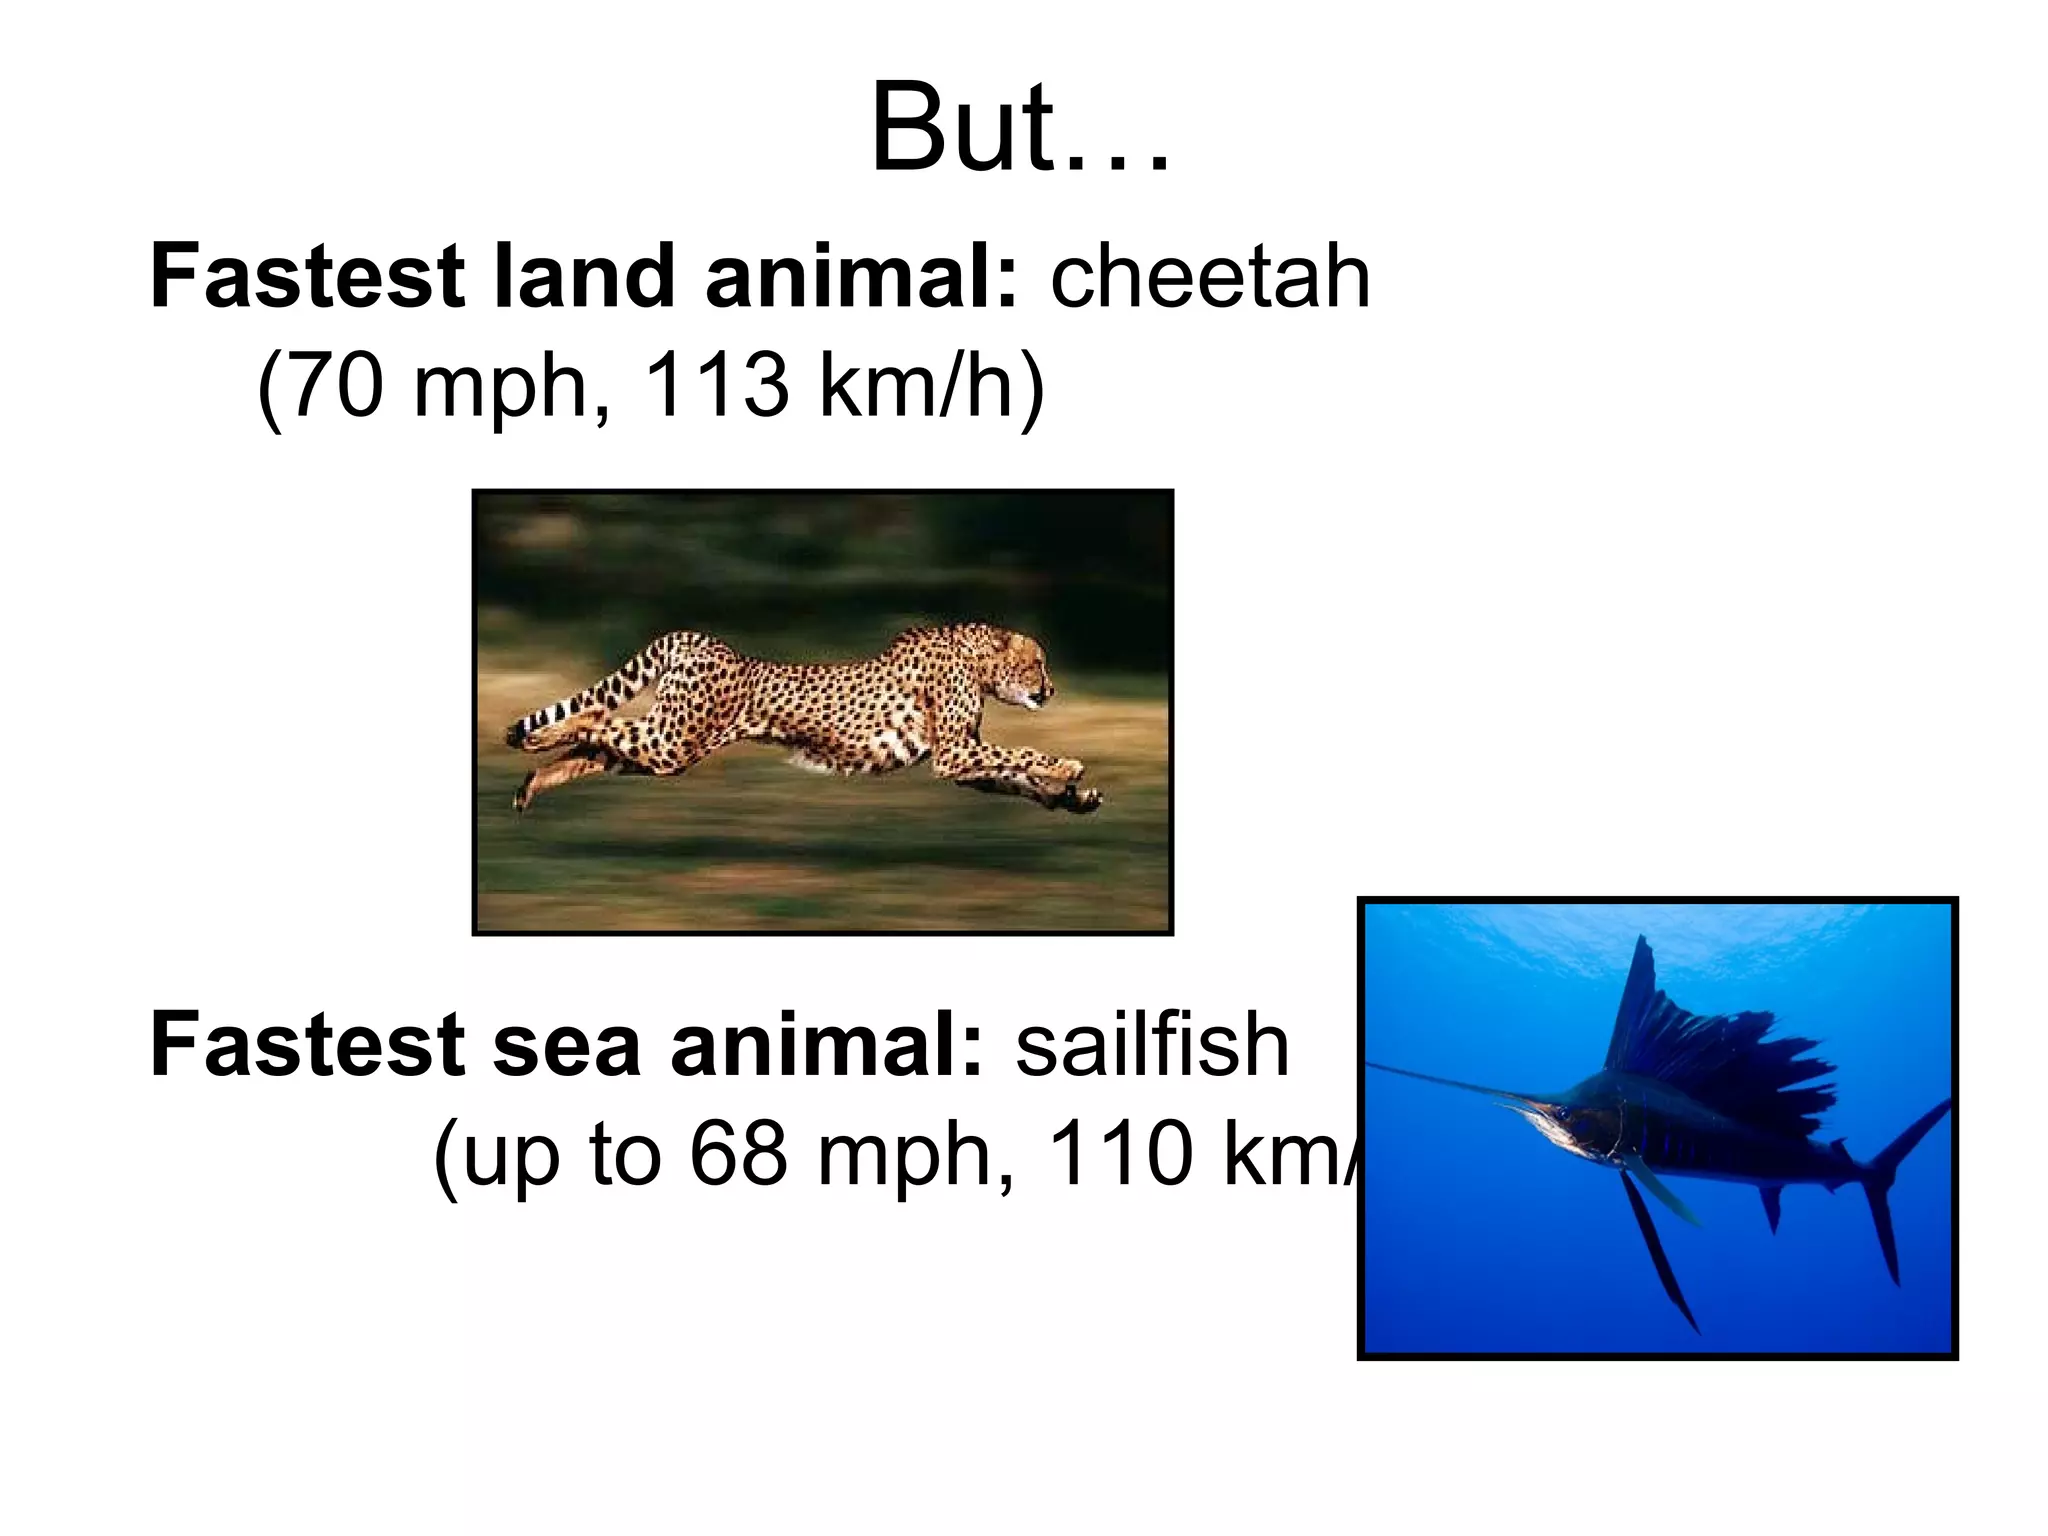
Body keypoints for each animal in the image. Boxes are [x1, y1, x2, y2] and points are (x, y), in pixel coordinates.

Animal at [502, 623, 1104, 815]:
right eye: (1039, 662)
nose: (1052, 689)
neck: (976, 658)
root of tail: (704, 640)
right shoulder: (954, 753)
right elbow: (1022, 756)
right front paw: (1069, 767)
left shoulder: (960, 761)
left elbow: (1016, 778)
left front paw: (1073, 797)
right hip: (673, 739)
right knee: (592, 717)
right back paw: (535, 739)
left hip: (665, 748)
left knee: (593, 746)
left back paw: (532, 781)